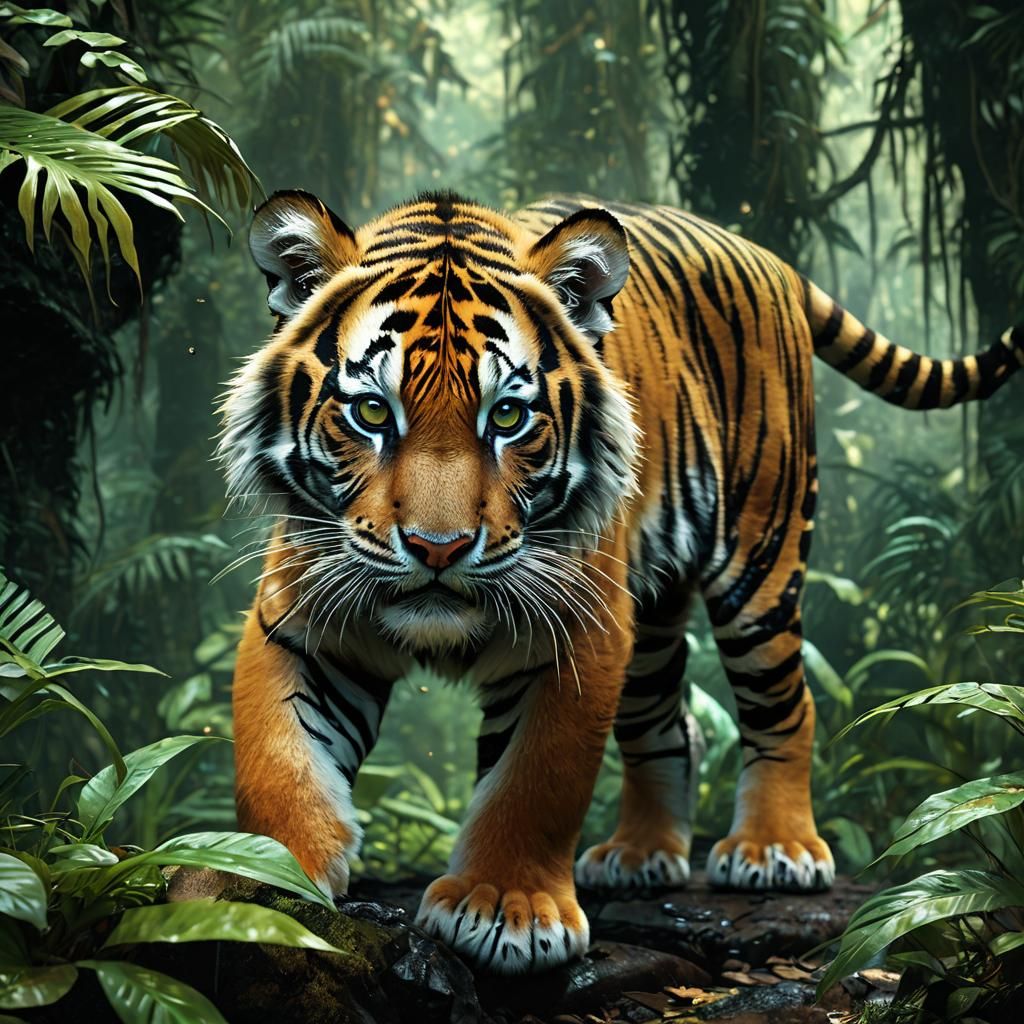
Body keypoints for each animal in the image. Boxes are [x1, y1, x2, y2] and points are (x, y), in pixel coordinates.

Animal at [219, 188, 1023, 975]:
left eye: (506, 416)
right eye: (370, 411)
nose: (436, 549)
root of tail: (761, 252)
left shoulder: (578, 630)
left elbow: (536, 778)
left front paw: (505, 909)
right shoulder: (298, 625)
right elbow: (277, 760)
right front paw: (265, 884)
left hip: (759, 565)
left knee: (785, 706)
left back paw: (775, 848)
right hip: (650, 615)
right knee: (668, 722)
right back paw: (641, 856)